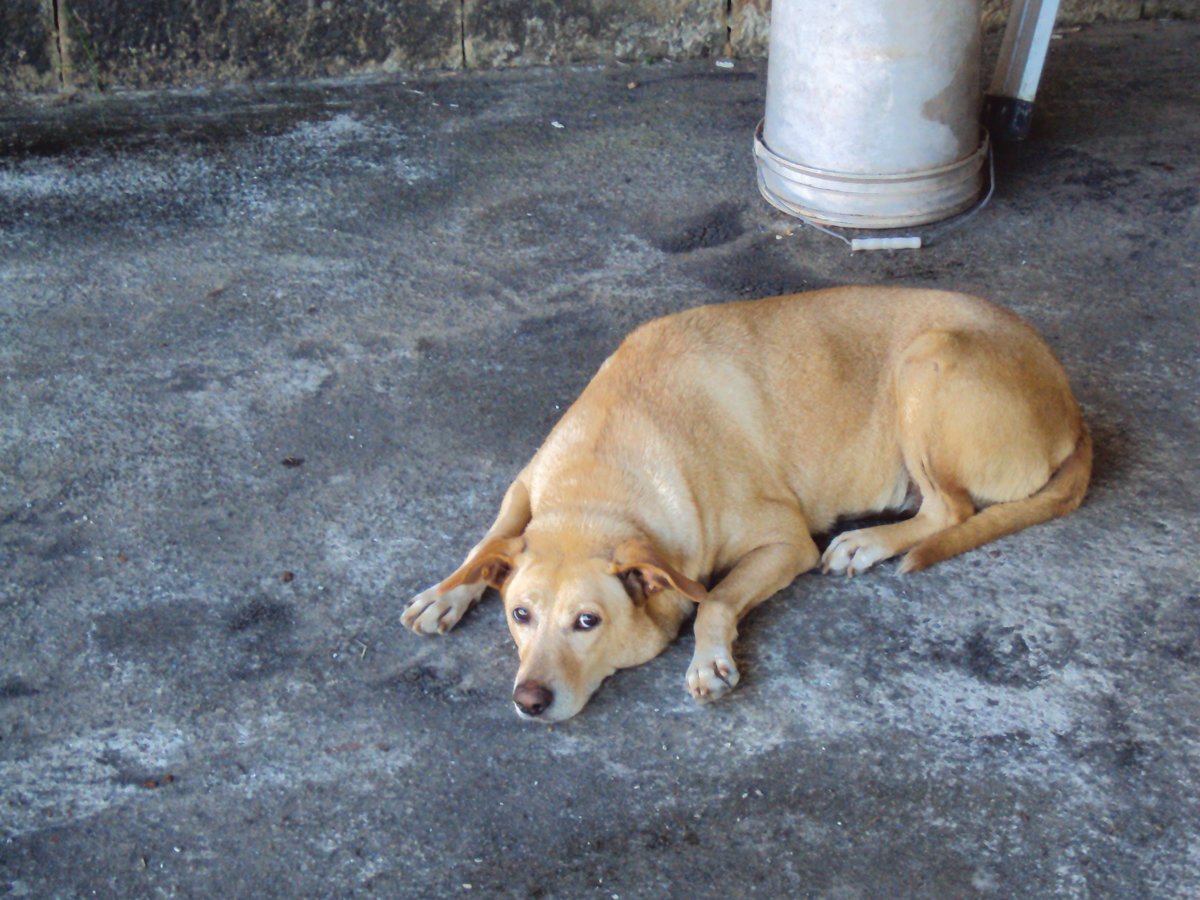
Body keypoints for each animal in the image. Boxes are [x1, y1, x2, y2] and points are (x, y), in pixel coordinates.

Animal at [400, 289, 1089, 724]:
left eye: (588, 622)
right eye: (519, 614)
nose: (529, 701)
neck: (600, 482)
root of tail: (1072, 407)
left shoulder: (786, 542)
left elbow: (717, 600)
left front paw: (711, 658)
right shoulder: (524, 486)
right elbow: (488, 540)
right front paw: (447, 591)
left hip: (925, 362)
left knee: (950, 511)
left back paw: (866, 542)